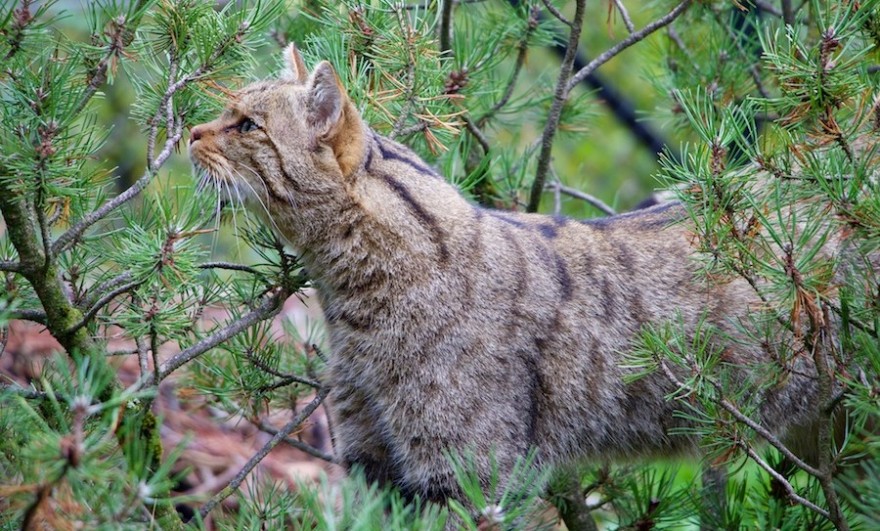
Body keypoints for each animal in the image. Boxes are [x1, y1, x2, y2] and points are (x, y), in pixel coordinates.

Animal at [191, 45, 844, 512]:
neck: (348, 302)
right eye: (227, 113)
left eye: (246, 125)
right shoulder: (374, 468)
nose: (192, 133)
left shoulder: (467, 472)